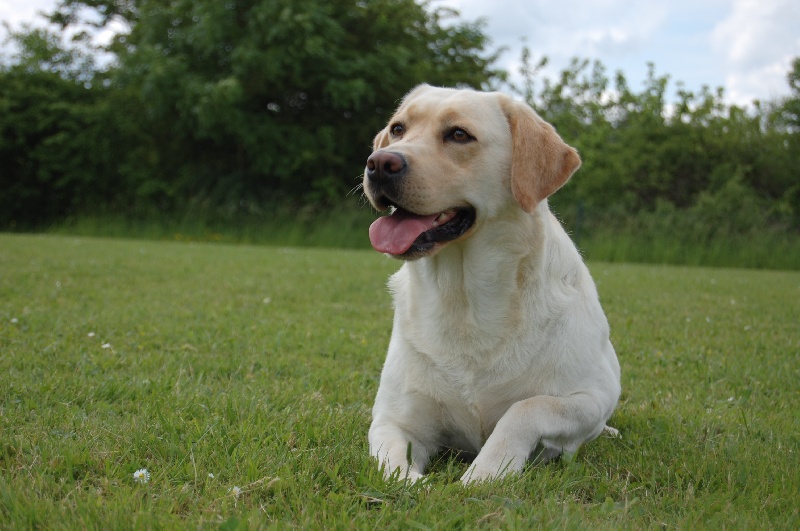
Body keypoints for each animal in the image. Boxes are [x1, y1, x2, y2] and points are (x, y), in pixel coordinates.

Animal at [362, 84, 620, 486]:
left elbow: (526, 408)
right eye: (398, 129)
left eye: (458, 134)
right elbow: (391, 465)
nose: (378, 163)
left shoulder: (591, 397)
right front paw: (414, 483)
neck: (465, 301)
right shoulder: (394, 419)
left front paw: (485, 472)